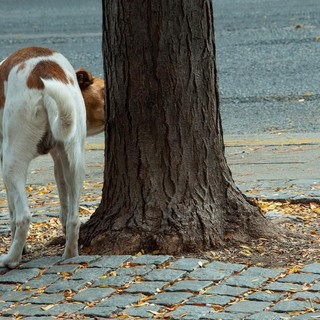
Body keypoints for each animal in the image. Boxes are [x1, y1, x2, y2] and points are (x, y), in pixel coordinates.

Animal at [0, 47, 105, 268]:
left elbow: (12, 212)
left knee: (24, 217)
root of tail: (43, 74)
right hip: (76, 163)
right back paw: (70, 254)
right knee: (73, 218)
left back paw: (11, 259)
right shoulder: (60, 161)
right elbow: (64, 208)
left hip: (12, 163)